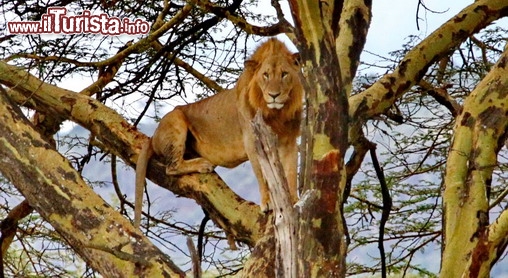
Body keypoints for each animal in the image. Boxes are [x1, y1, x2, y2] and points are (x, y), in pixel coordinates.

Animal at [133, 38, 304, 227]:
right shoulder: (252, 141)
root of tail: (153, 136)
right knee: (171, 167)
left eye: (284, 74)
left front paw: (294, 200)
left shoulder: (289, 141)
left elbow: (290, 173)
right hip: (175, 117)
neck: (276, 113)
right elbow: (261, 175)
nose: (274, 95)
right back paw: (203, 164)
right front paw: (267, 202)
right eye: (265, 75)